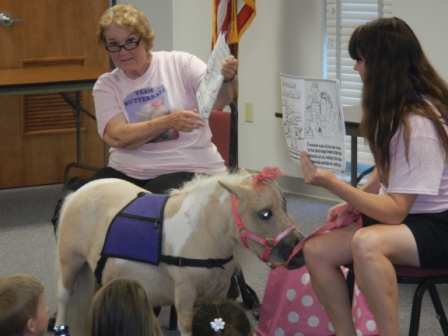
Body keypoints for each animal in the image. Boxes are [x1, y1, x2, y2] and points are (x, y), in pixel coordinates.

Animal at [53, 167, 304, 334]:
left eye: (285, 205)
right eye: (264, 213)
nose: (298, 253)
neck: (202, 233)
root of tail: (78, 191)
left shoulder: (219, 293)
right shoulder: (184, 299)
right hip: (70, 264)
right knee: (64, 298)